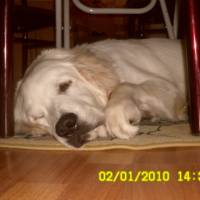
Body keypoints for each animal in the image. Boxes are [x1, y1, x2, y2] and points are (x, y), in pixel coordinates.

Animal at [14, 38, 188, 147]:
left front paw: (117, 115)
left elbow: (124, 85)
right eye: (38, 116)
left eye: (64, 85)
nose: (65, 125)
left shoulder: (169, 88)